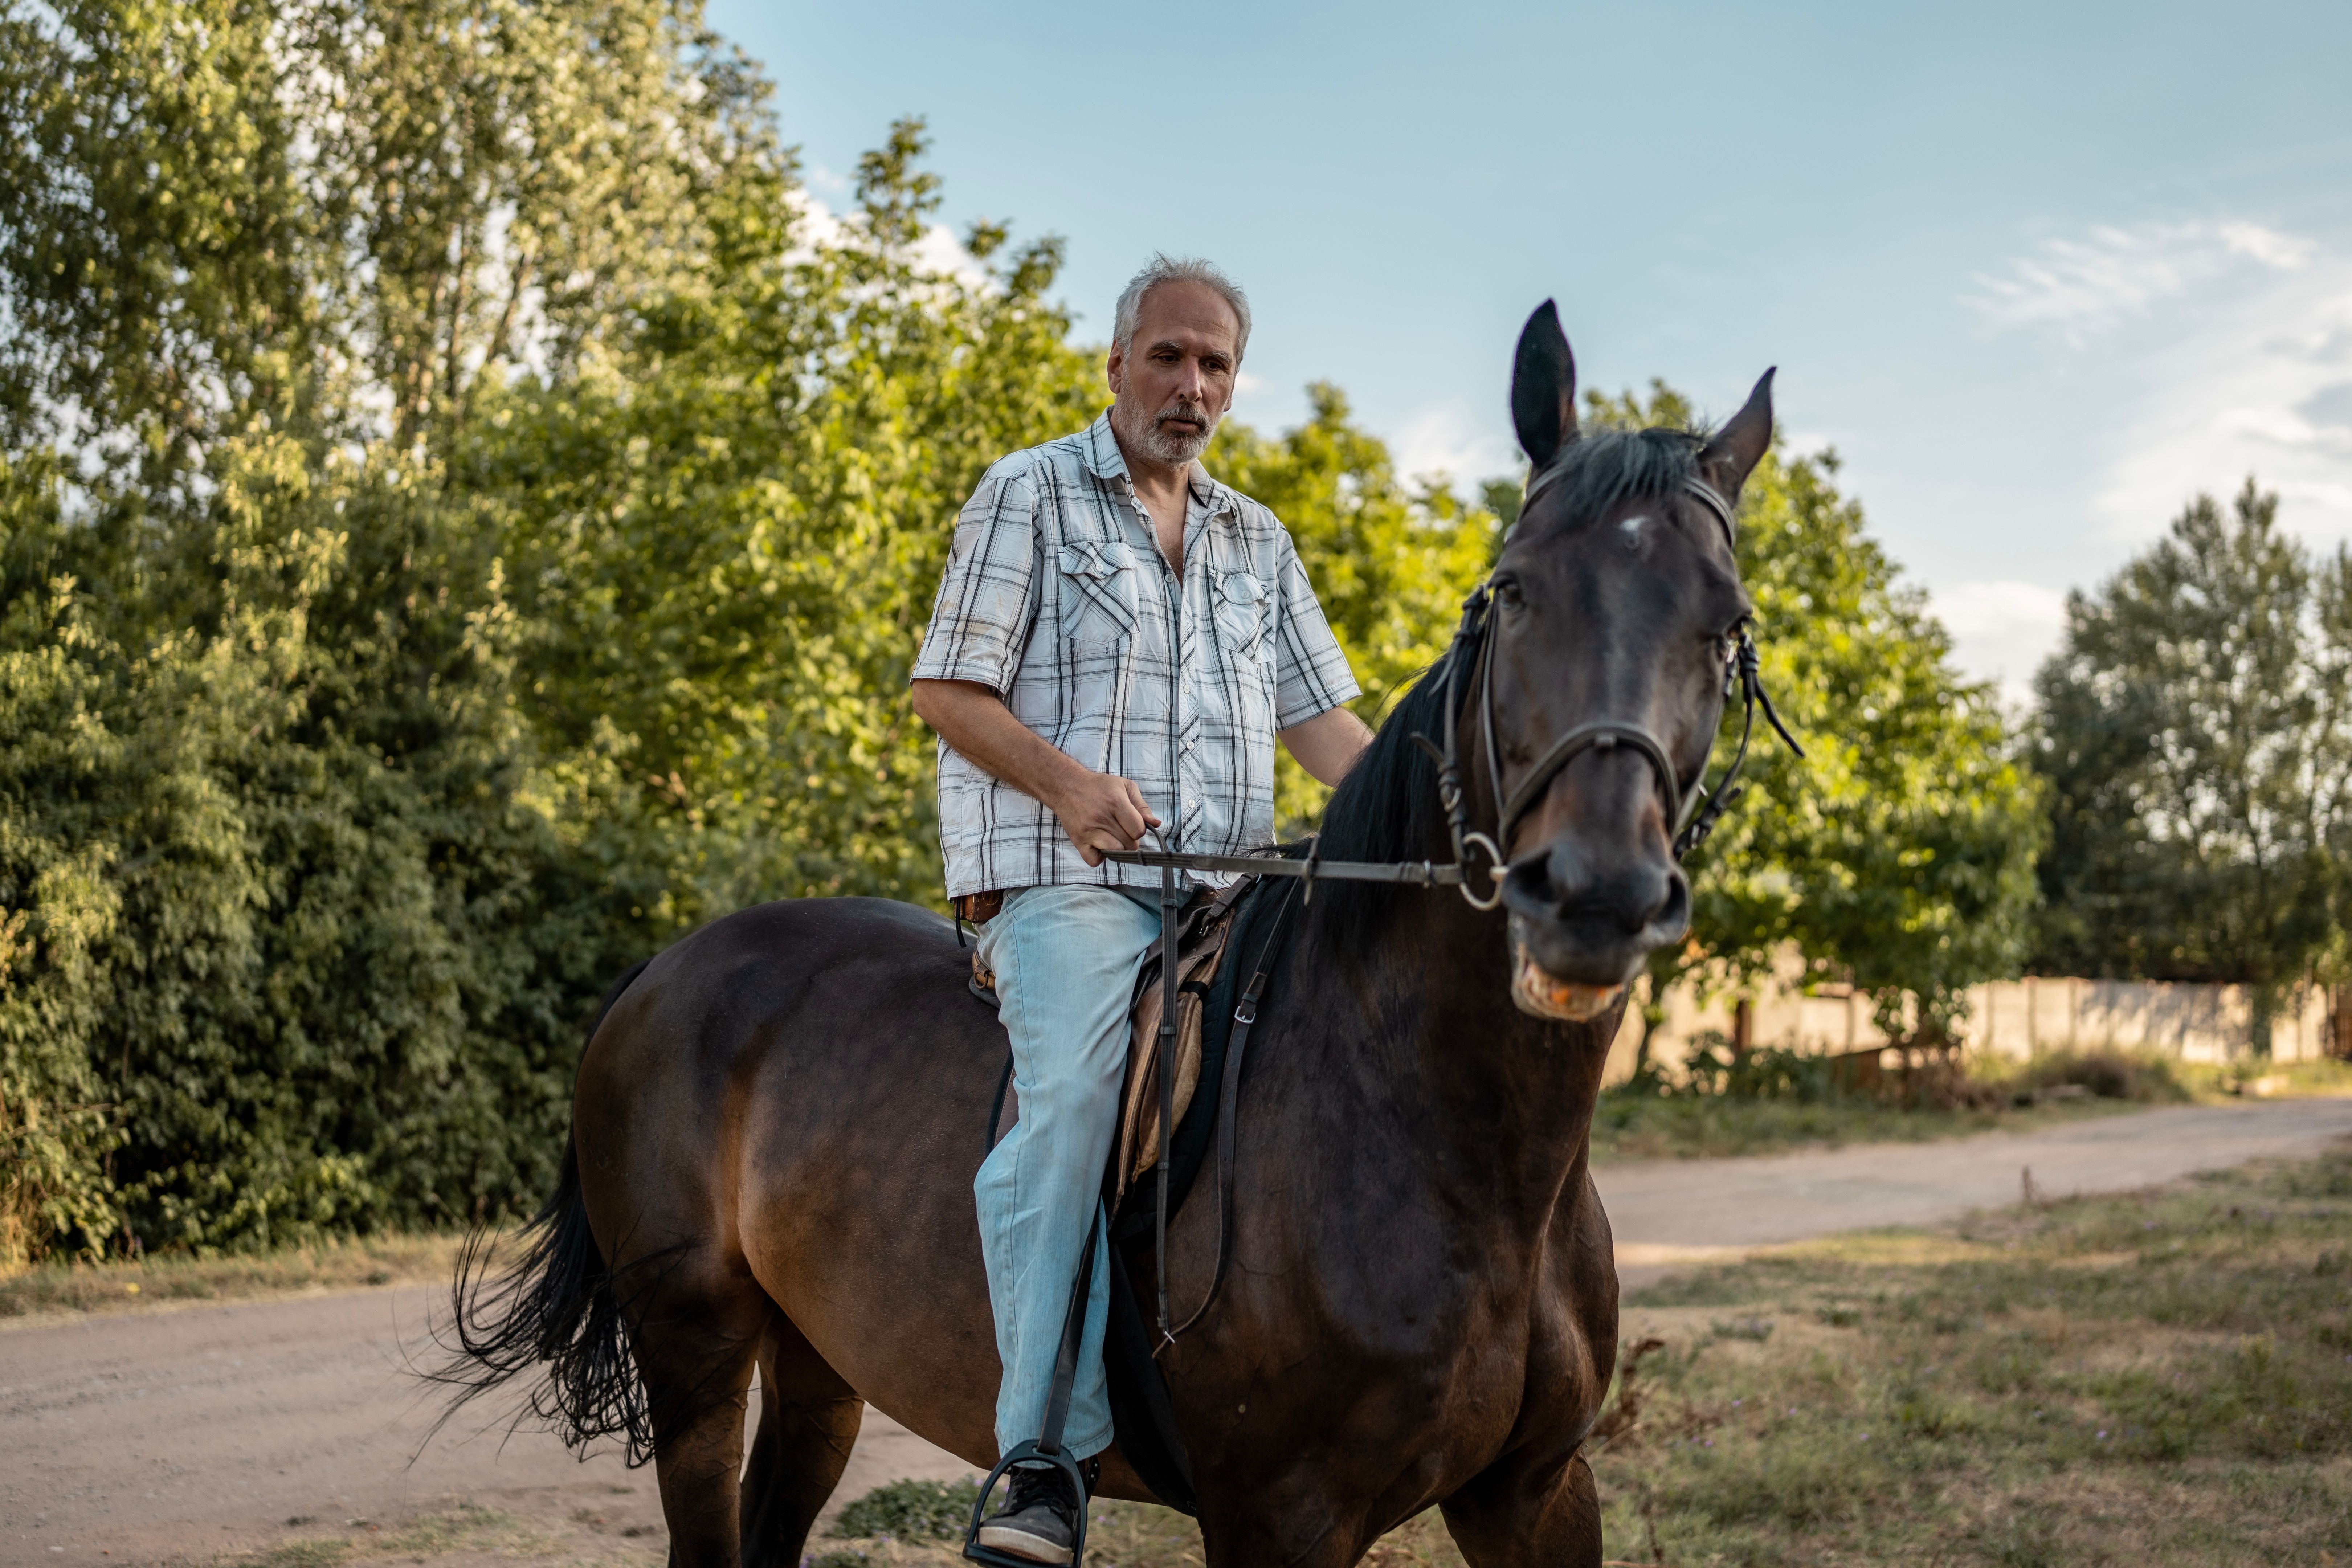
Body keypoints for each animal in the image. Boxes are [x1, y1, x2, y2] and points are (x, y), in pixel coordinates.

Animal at [442, 300, 1778, 1568]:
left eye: (1725, 625)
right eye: (1514, 592)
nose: (1593, 895)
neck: (1445, 1140)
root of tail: (664, 971)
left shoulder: (1537, 1495)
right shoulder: (1281, 1520)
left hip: (820, 1364)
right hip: (699, 1359)